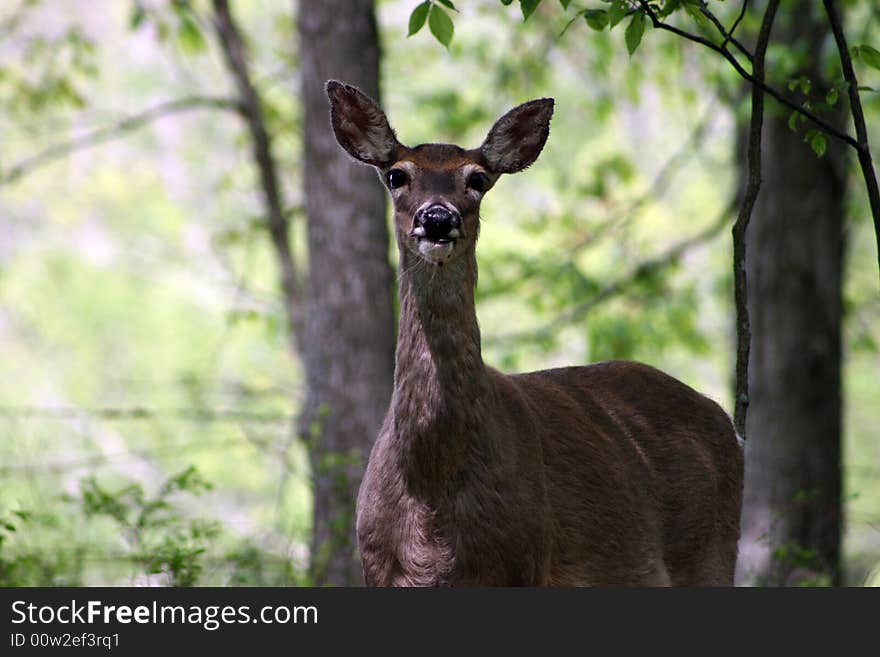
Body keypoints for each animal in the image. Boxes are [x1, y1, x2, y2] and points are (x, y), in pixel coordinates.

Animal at [324, 79, 744, 588]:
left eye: (478, 179)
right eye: (396, 175)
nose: (438, 218)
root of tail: (726, 423)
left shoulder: (523, 562)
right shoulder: (380, 570)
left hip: (713, 554)